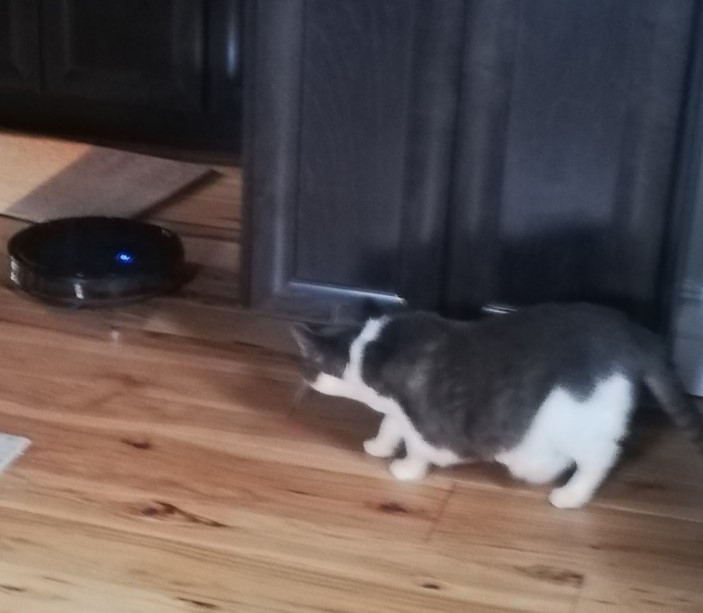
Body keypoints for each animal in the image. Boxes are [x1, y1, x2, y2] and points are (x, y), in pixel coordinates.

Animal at [292, 302, 703, 506]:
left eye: (307, 363)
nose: (302, 379)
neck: (365, 351)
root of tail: (636, 334)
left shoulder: (426, 413)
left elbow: (419, 442)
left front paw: (406, 469)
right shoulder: (399, 410)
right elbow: (391, 423)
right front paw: (379, 446)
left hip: (575, 414)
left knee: (600, 456)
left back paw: (569, 494)